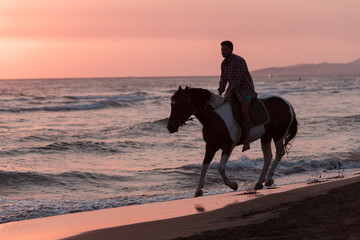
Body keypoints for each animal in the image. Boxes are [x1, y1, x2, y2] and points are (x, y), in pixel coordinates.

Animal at [167, 86, 296, 197]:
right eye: (172, 105)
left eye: (179, 105)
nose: (170, 127)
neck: (214, 117)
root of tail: (287, 103)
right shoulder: (210, 146)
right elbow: (204, 167)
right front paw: (198, 191)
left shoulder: (228, 146)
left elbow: (220, 168)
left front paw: (233, 185)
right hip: (266, 136)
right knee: (268, 156)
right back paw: (260, 183)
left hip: (278, 134)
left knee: (279, 153)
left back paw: (269, 179)